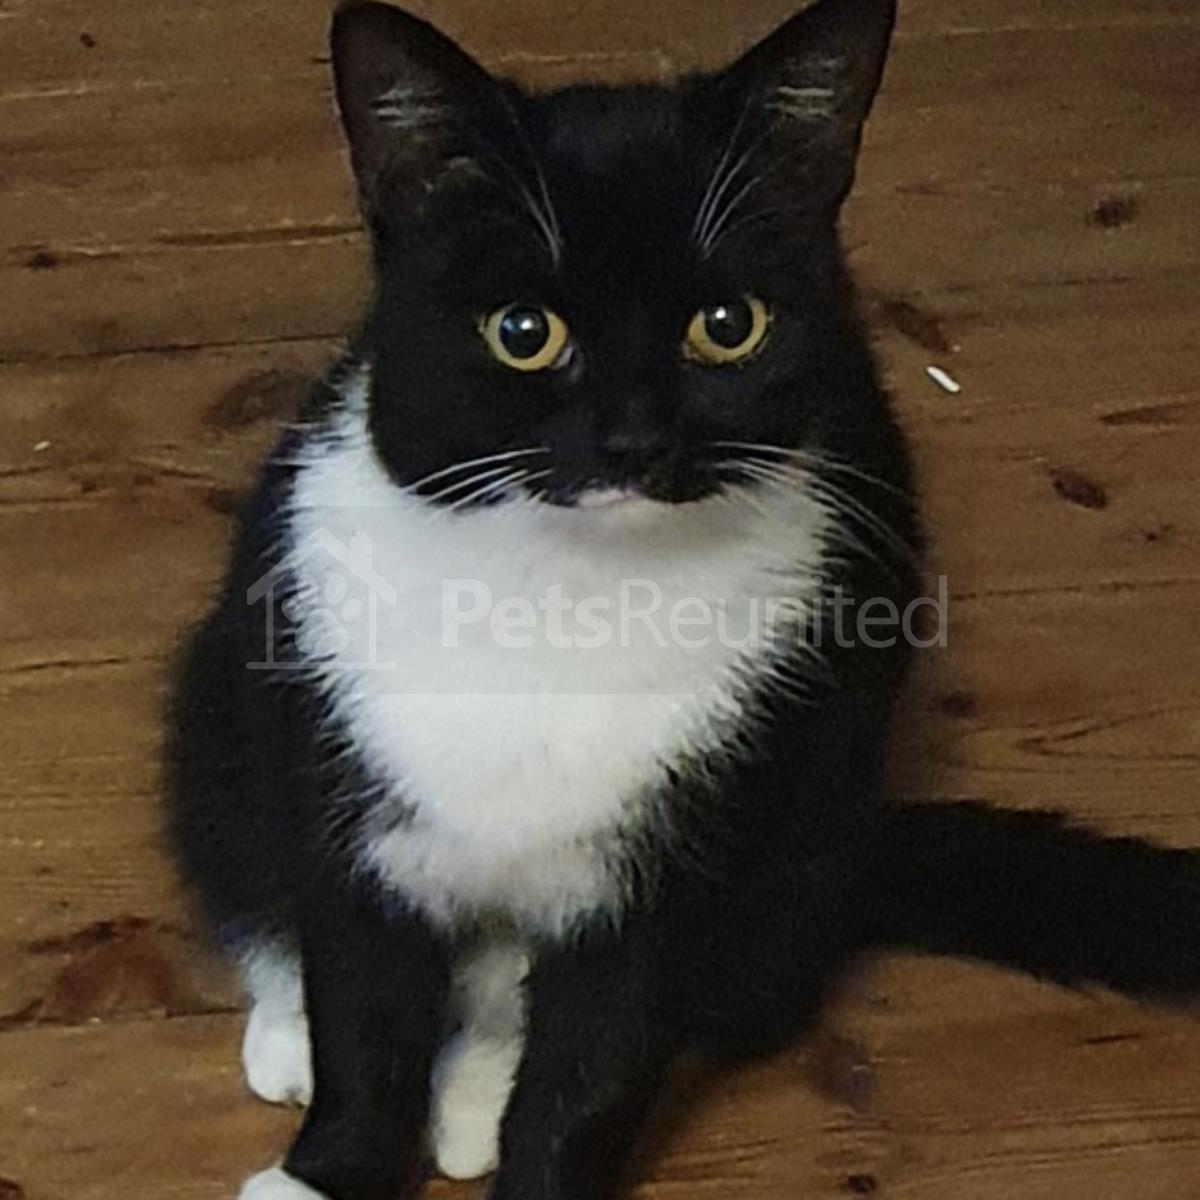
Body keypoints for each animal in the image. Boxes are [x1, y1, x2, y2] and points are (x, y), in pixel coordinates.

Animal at [164, 1, 1200, 1198]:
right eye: (523, 332)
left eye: (727, 323)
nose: (634, 439)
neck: (568, 592)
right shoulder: (354, 797)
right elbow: (365, 1014)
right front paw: (327, 1168)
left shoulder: (682, 863)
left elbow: (594, 1068)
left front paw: (528, 1156)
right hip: (224, 694)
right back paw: (290, 1034)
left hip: (809, 831)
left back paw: (472, 1099)